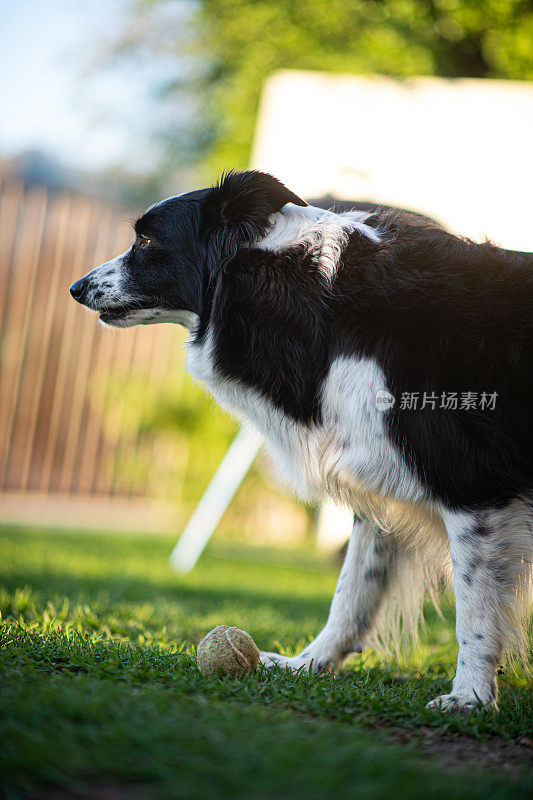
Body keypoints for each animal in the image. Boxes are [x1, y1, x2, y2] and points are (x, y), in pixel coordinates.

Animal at [70, 170, 532, 712]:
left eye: (146, 240)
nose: (76, 287)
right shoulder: (382, 475)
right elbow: (352, 592)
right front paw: (308, 665)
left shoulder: (471, 484)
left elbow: (475, 607)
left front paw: (471, 699)